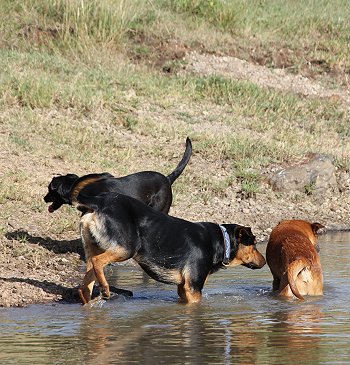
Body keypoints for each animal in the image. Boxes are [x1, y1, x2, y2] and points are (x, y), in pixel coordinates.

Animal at [74, 191, 266, 304]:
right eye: (254, 244)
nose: (264, 261)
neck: (221, 241)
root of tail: (99, 202)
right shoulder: (193, 288)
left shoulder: (182, 289)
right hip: (127, 248)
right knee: (98, 262)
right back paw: (105, 289)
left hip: (94, 247)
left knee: (84, 286)